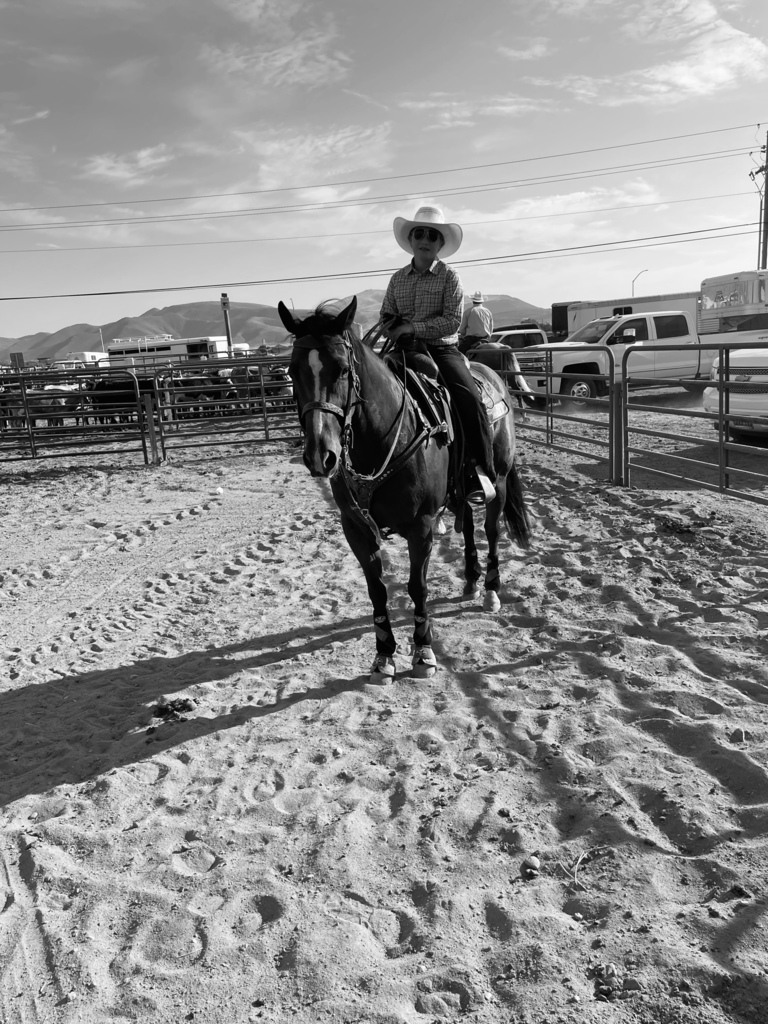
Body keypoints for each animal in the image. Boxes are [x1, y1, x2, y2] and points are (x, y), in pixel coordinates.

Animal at [280, 296, 532, 679]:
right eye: (293, 372)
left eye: (342, 369)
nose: (320, 455)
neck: (382, 441)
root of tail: (492, 377)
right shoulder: (355, 527)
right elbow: (377, 590)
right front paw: (384, 654)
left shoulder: (421, 526)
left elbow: (417, 586)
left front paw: (423, 652)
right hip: (460, 490)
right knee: (468, 526)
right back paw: (470, 581)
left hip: (498, 479)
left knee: (490, 530)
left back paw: (490, 590)